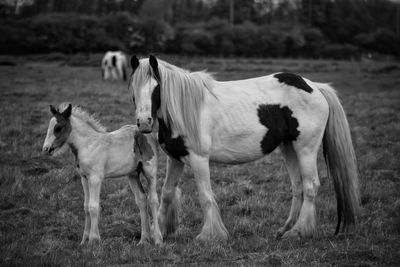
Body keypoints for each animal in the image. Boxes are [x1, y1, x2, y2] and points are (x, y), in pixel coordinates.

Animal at [42, 103, 162, 246]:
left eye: (58, 128)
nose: (46, 149)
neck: (87, 145)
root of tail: (147, 133)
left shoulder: (95, 178)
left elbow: (93, 206)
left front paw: (94, 240)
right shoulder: (84, 178)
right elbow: (86, 207)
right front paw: (84, 241)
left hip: (150, 171)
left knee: (153, 200)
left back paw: (157, 239)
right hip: (132, 174)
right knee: (141, 199)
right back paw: (143, 240)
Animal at [128, 55, 360, 242]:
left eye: (156, 87)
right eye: (133, 88)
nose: (144, 123)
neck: (183, 109)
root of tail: (315, 86)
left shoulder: (199, 159)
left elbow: (205, 195)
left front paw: (210, 236)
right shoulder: (175, 159)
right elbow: (167, 193)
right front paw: (158, 230)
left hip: (306, 149)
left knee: (311, 186)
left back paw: (299, 232)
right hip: (289, 149)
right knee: (298, 187)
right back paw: (285, 229)